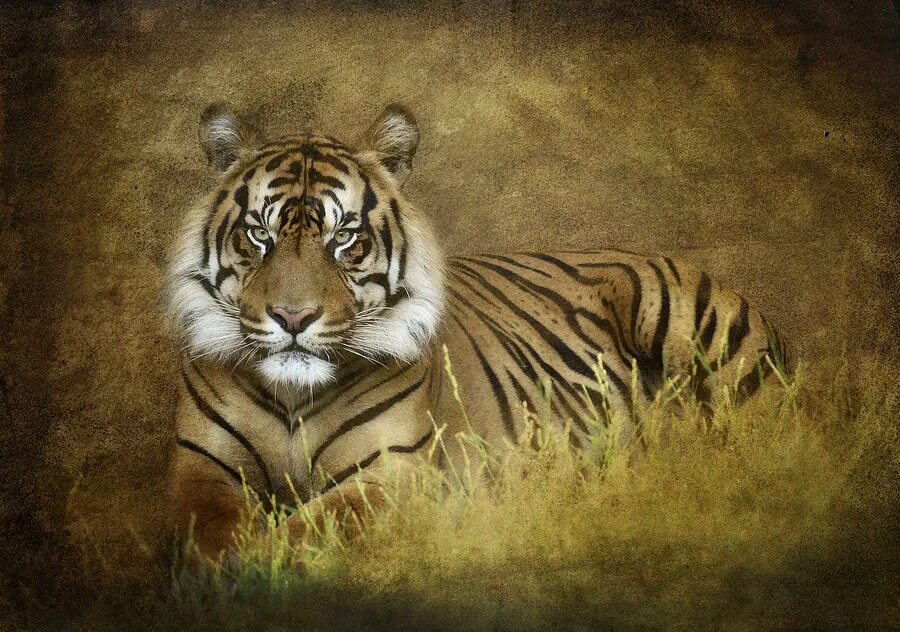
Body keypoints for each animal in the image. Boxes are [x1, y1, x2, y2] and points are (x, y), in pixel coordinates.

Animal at [163, 102, 788, 559]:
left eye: (345, 238)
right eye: (259, 235)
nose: (293, 318)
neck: (294, 395)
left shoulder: (392, 476)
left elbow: (303, 533)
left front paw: (257, 568)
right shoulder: (200, 468)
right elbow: (210, 531)